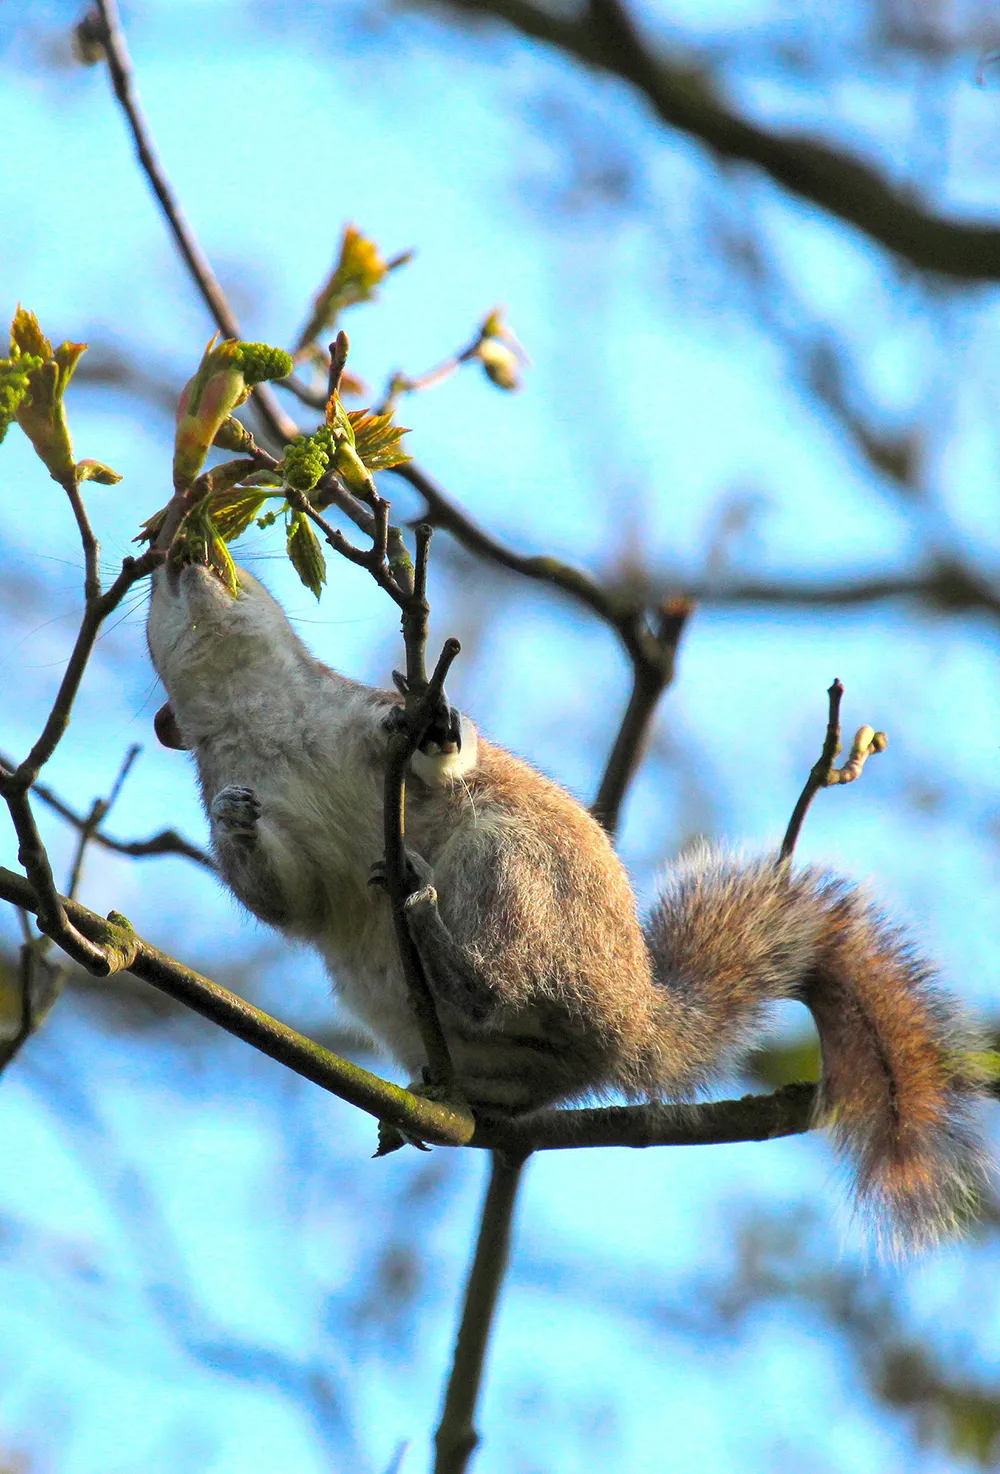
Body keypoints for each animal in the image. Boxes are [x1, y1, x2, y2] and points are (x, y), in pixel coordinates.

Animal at [146, 559, 988, 1251]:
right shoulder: (285, 842)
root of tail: (631, 1015)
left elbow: (435, 759)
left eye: (228, 565)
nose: (178, 553)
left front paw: (434, 725)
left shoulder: (360, 720)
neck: (261, 712)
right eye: (154, 572)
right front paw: (234, 819)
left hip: (513, 872)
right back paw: (436, 1092)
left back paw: (436, 935)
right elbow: (284, 898)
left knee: (502, 981)